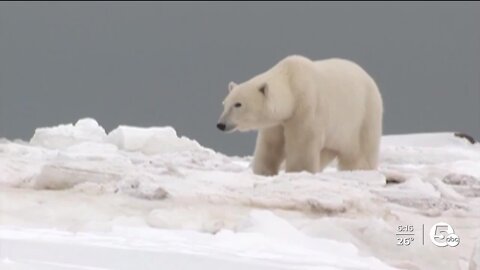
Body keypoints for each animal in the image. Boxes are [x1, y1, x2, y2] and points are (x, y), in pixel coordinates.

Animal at [217, 56, 382, 176]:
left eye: (238, 104)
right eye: (225, 103)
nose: (221, 124)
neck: (292, 83)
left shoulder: (306, 107)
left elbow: (302, 142)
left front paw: (298, 171)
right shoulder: (278, 121)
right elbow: (271, 144)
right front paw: (263, 171)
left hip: (363, 115)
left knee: (360, 151)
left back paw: (358, 169)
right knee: (326, 151)